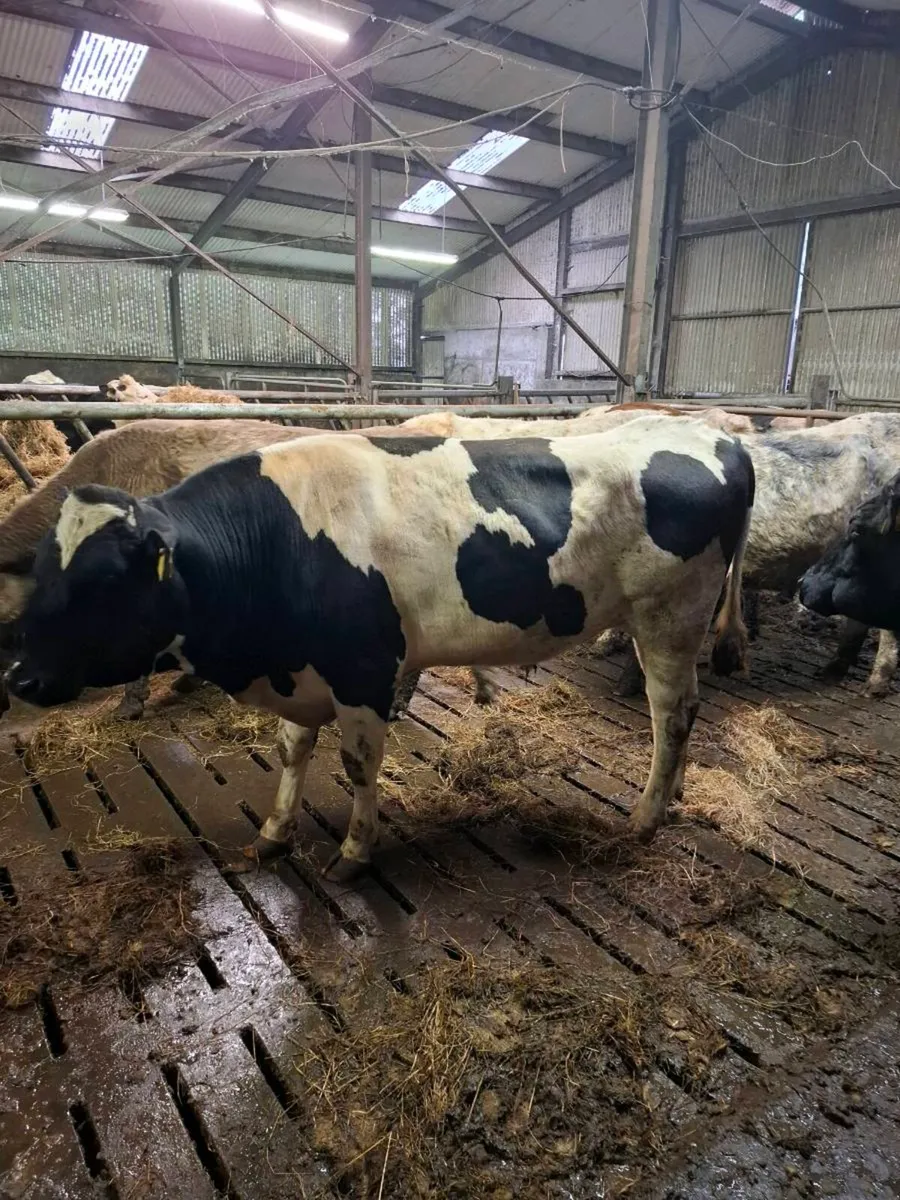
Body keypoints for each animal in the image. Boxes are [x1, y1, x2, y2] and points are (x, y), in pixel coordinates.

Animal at [7, 418, 754, 876]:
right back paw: (670, 800)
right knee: (683, 713)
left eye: (103, 582)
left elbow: (358, 764)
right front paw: (274, 834)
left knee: (672, 714)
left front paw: (355, 851)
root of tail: (711, 433)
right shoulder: (305, 670)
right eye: (41, 570)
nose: (19, 677)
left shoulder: (363, 671)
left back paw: (646, 818)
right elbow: (292, 751)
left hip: (669, 616)